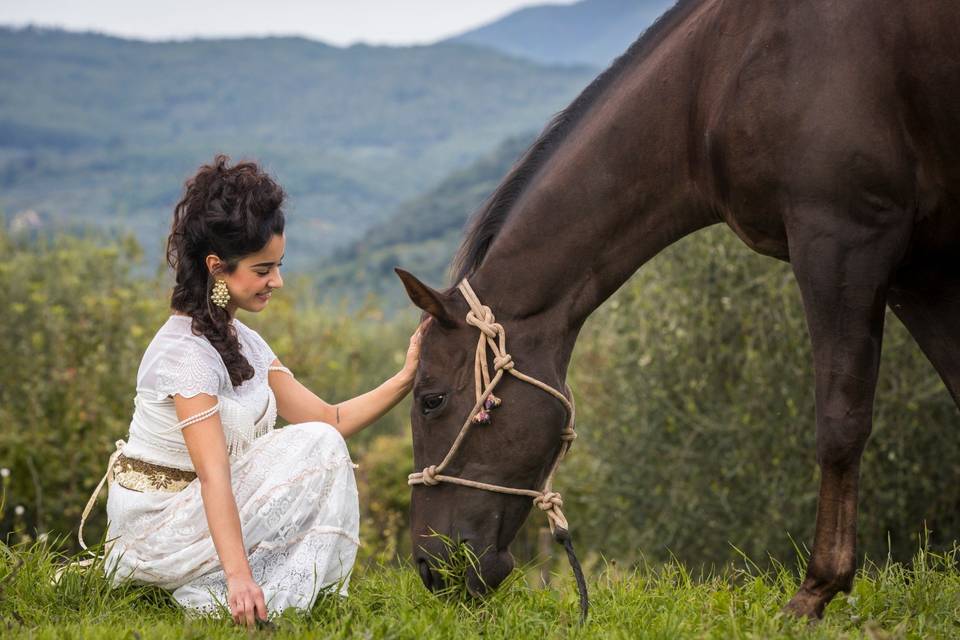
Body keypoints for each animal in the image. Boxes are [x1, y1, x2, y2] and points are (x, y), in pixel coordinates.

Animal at [394, 0, 960, 620]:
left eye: (431, 399)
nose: (431, 570)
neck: (715, 80)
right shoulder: (919, 269)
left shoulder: (843, 237)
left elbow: (840, 422)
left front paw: (816, 591)